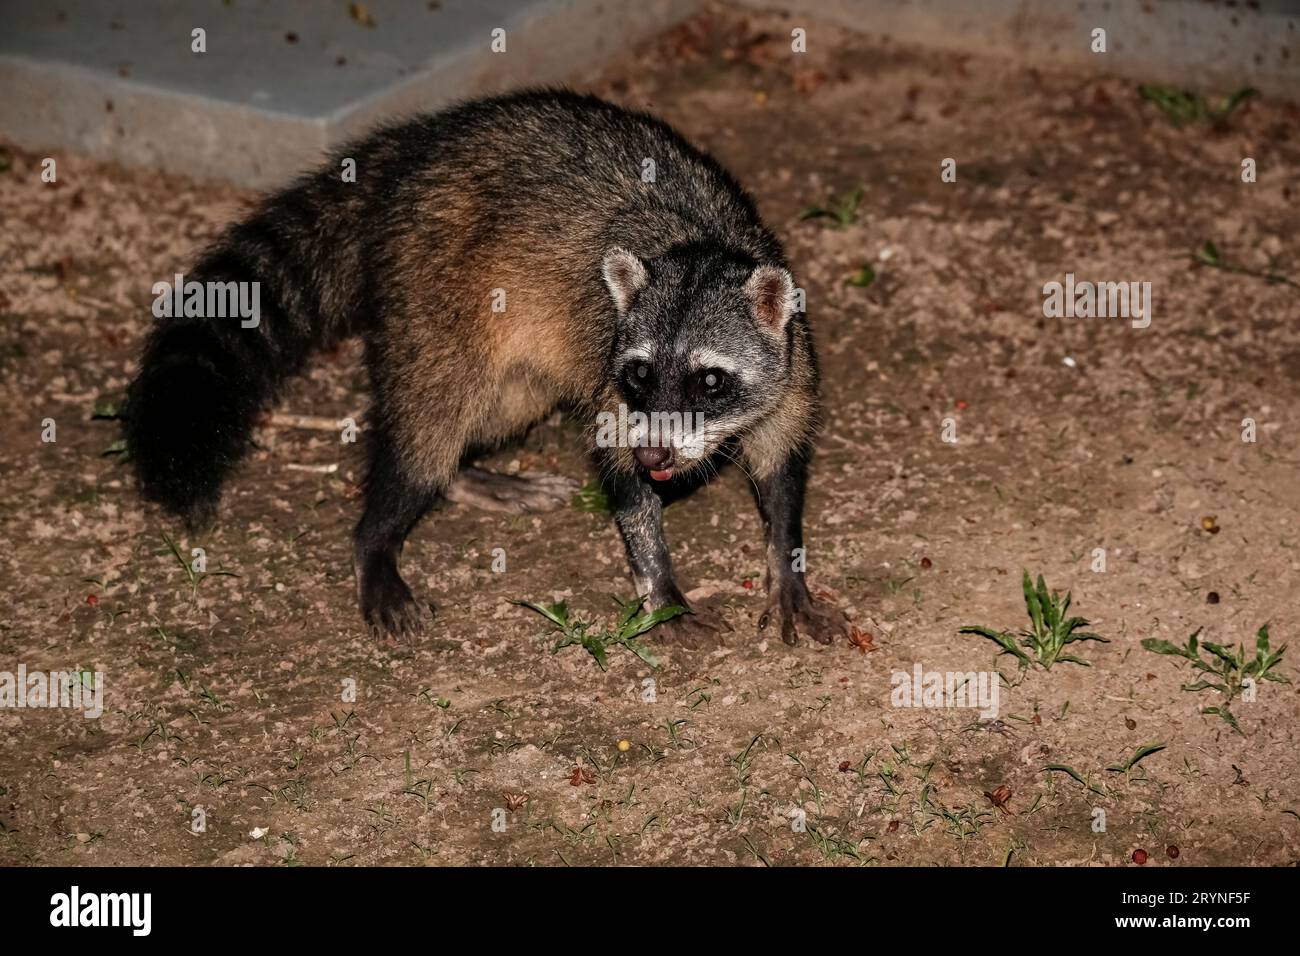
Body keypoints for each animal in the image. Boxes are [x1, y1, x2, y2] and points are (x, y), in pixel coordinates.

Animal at [126, 89, 847, 647]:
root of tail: (417, 144)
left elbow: (781, 468)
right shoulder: (612, 377)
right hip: (425, 283)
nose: (657, 456)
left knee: (502, 404)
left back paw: (464, 472)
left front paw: (786, 563)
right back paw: (381, 531)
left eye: (710, 380)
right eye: (642, 374)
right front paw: (660, 583)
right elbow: (621, 476)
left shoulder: (792, 369)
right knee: (429, 425)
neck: (698, 247)